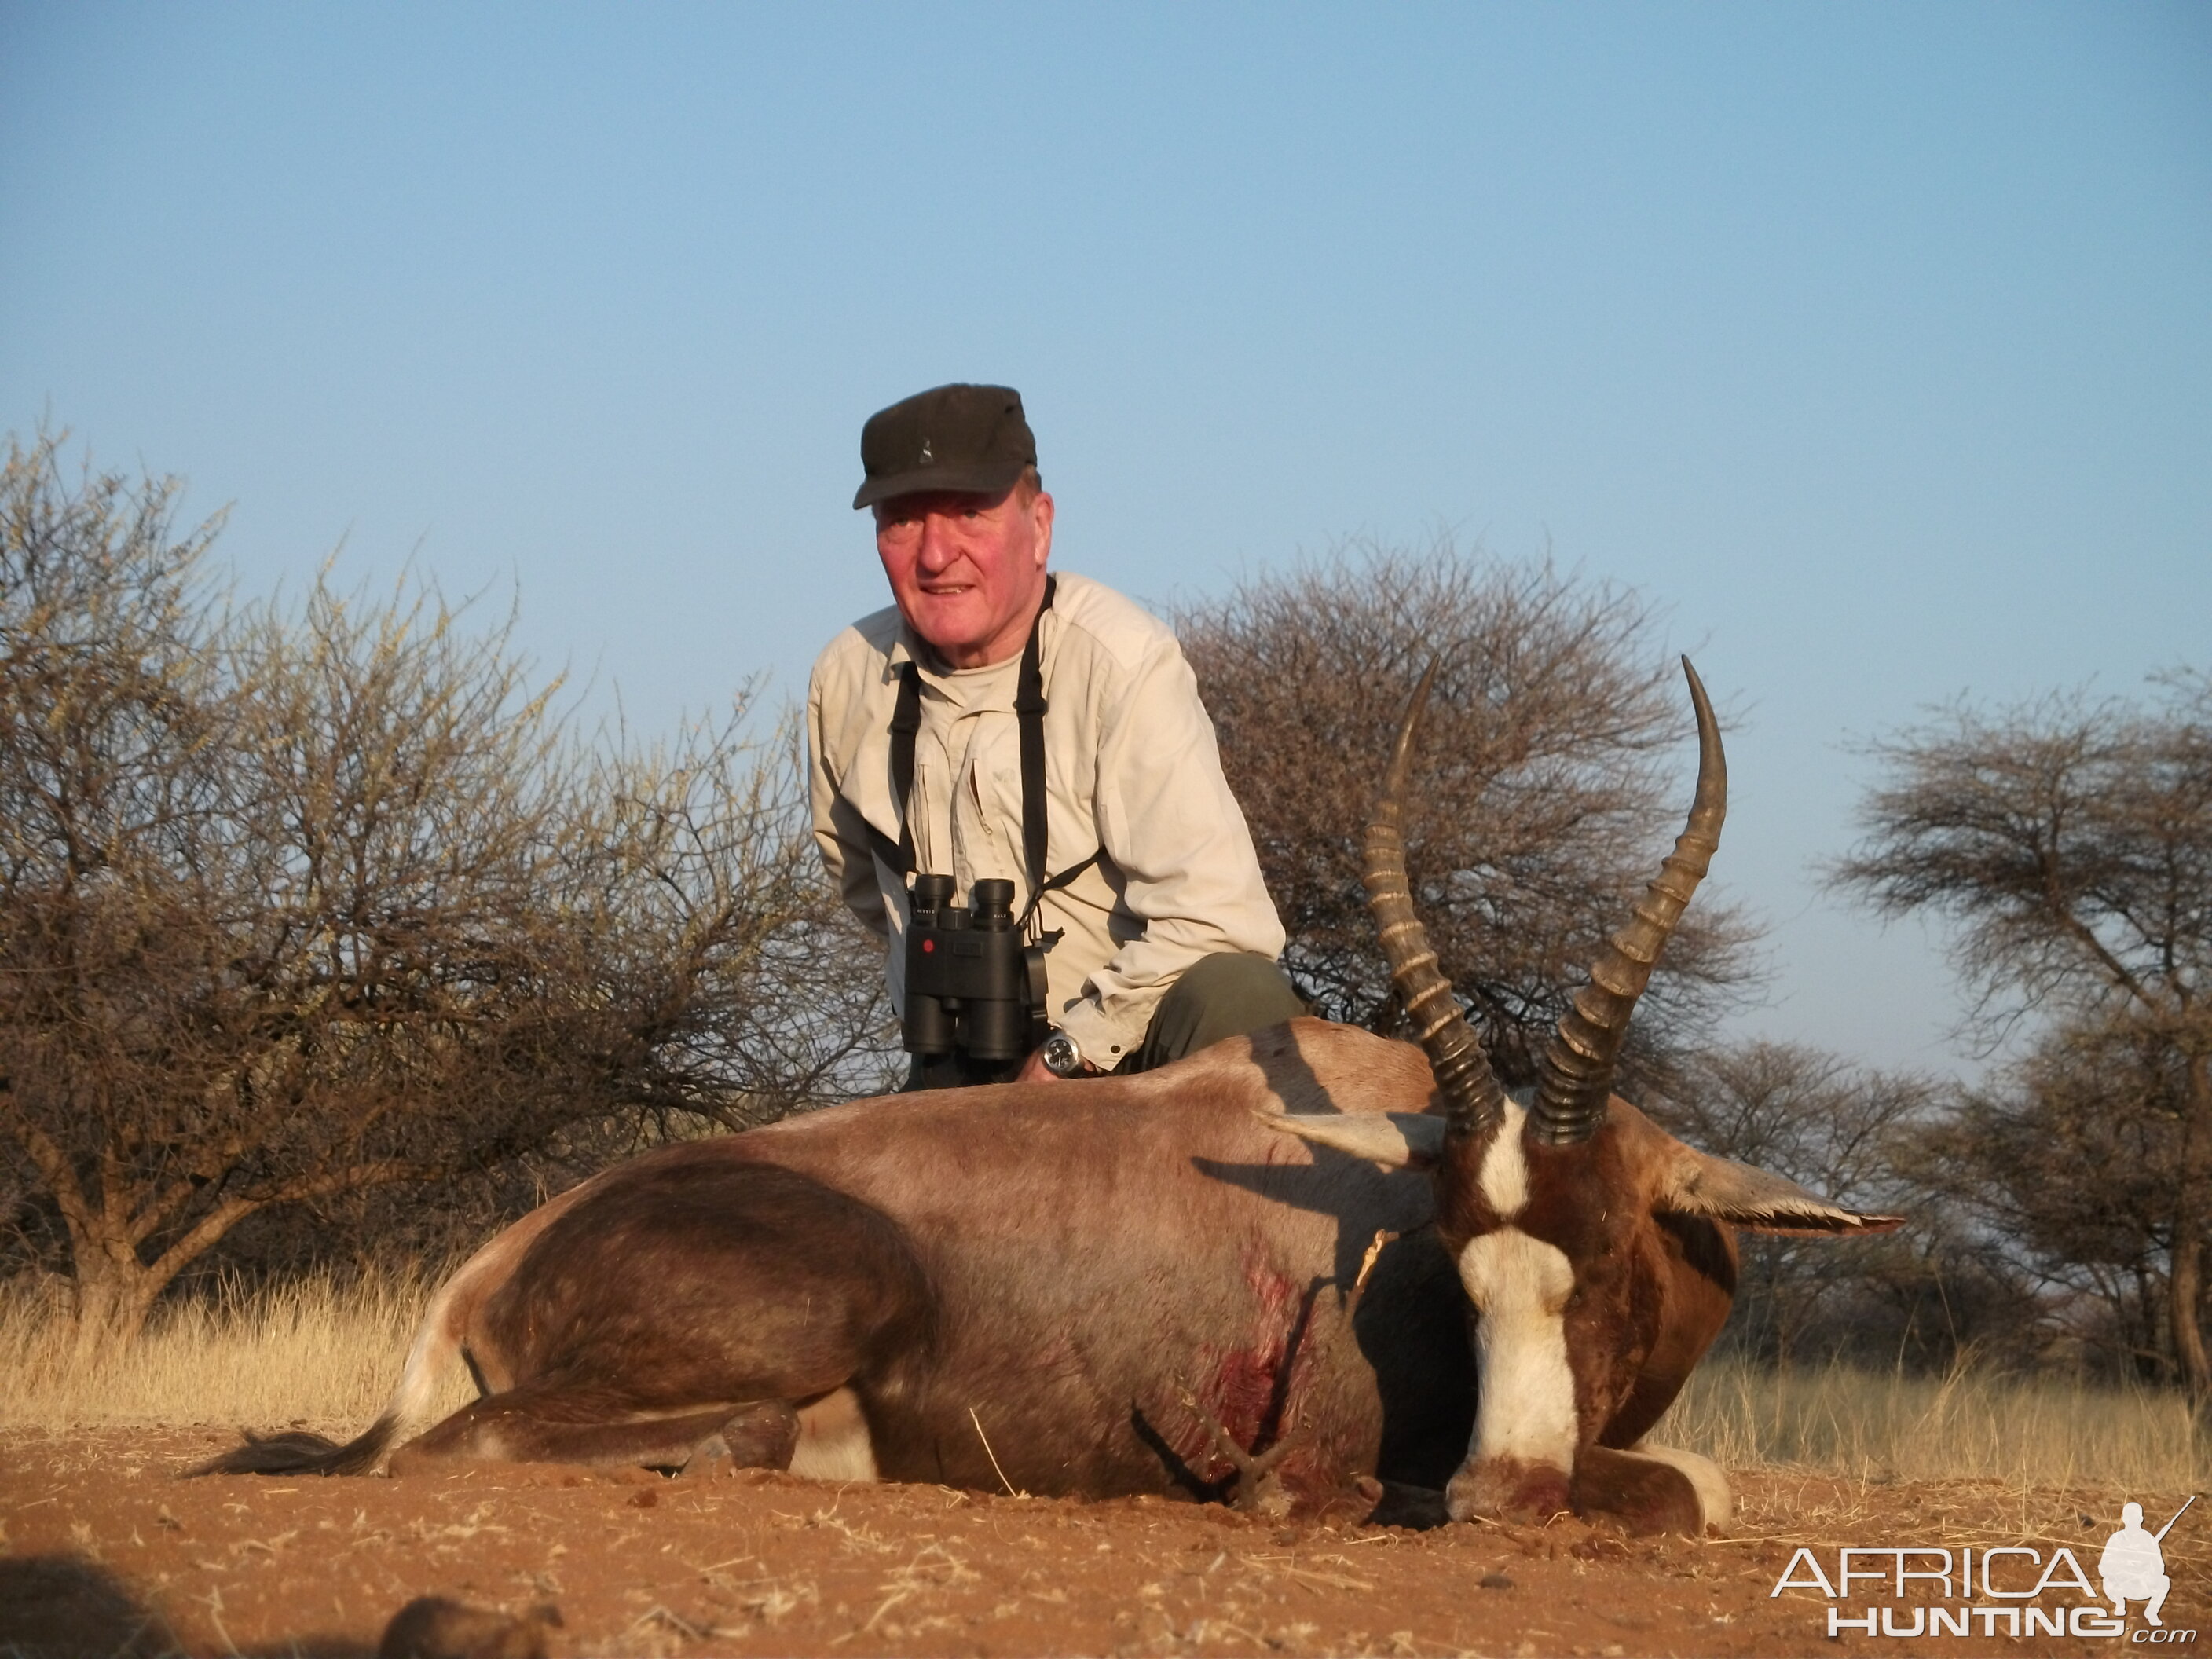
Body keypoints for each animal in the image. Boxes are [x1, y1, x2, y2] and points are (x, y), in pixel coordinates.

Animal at [207, 659, 1902, 1530]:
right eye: (1462, 1262)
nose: (1498, 1496)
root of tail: (496, 1258)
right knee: (457, 1454)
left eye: (1601, 1252)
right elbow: (1701, 1484)